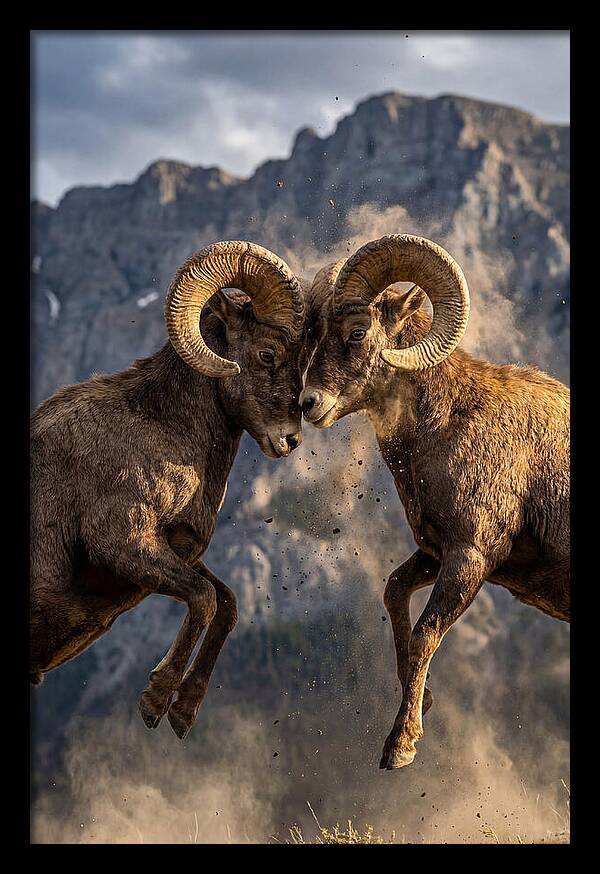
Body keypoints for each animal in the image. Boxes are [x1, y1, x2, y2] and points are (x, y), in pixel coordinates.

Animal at [30, 240, 308, 739]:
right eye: (266, 354)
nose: (290, 439)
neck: (162, 427)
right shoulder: (124, 544)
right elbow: (203, 599)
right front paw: (156, 700)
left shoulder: (177, 551)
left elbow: (227, 603)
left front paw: (183, 712)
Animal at [300, 234, 569, 770]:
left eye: (357, 331)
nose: (308, 404)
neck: (447, 424)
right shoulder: (434, 552)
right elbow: (394, 593)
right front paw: (422, 702)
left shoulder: (470, 557)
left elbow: (426, 633)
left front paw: (400, 747)